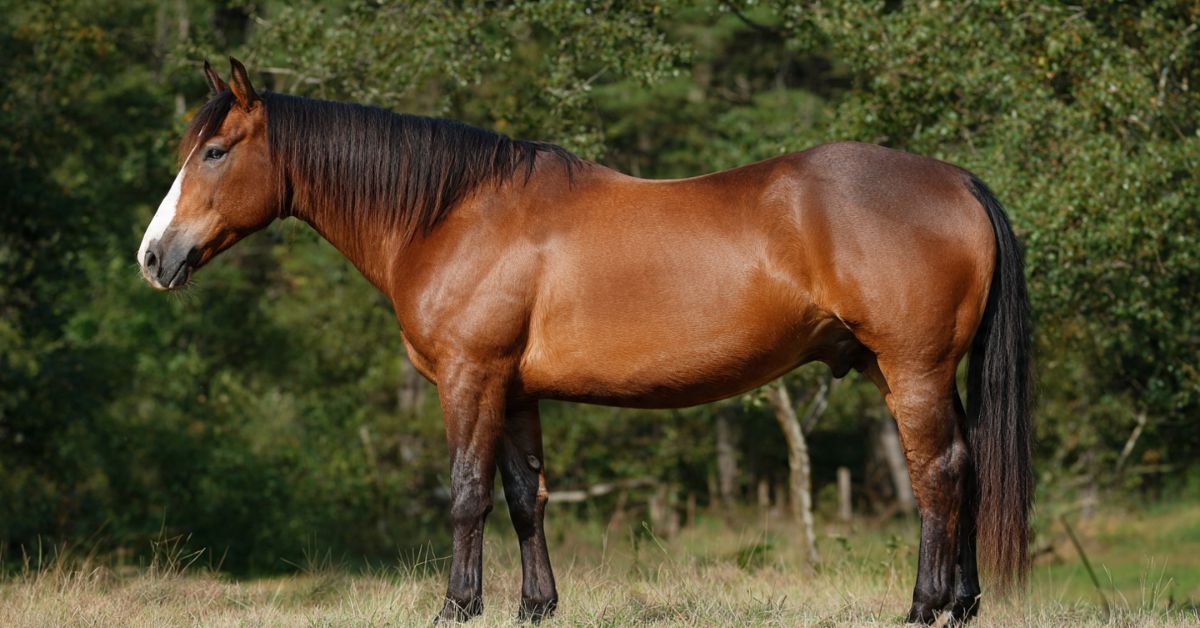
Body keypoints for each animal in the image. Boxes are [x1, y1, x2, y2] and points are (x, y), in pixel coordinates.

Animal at [137, 58, 1032, 624]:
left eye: (214, 150)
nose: (153, 257)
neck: (452, 212)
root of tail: (956, 180)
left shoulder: (469, 379)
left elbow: (466, 492)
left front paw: (457, 605)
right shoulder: (514, 389)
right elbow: (523, 496)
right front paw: (536, 606)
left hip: (911, 370)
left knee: (939, 474)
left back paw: (924, 607)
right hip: (914, 372)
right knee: (969, 467)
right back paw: (963, 605)